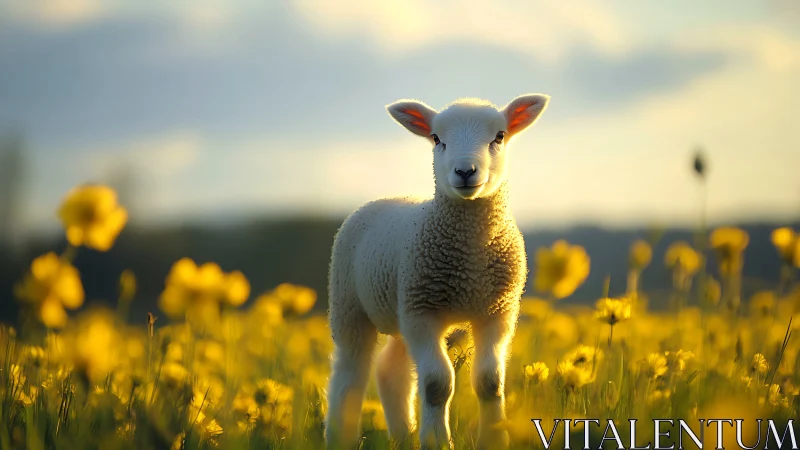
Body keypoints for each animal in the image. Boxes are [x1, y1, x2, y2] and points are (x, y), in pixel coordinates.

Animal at [325, 93, 550, 449]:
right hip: (351, 304)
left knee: (390, 370)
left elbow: (490, 381)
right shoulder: (423, 313)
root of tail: (387, 197)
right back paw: (340, 436)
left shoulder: (497, 312)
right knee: (350, 373)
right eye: (436, 138)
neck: (470, 262)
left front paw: (494, 438)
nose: (465, 171)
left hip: (401, 311)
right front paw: (437, 441)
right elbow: (436, 384)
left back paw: (403, 435)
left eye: (499, 136)